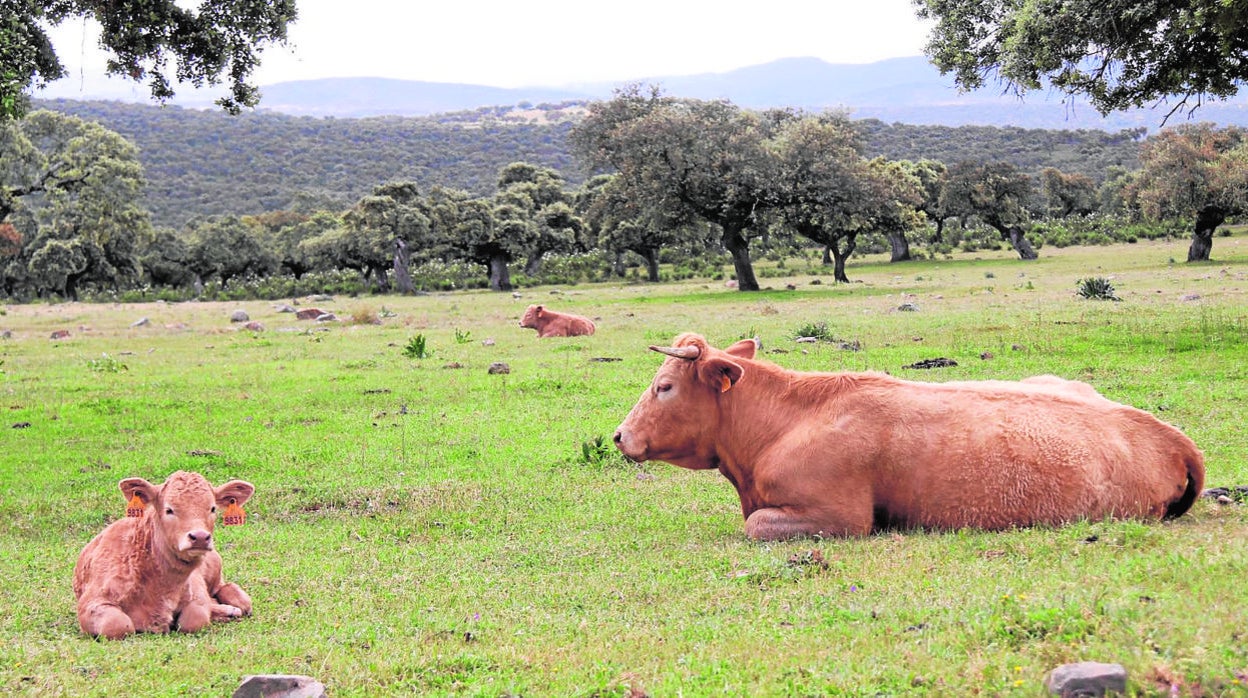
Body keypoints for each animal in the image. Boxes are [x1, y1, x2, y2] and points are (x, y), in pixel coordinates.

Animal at [72, 471, 255, 644]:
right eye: (169, 510)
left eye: (212, 508)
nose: (200, 537)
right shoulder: (91, 603)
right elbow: (118, 625)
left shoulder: (197, 593)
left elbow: (195, 619)